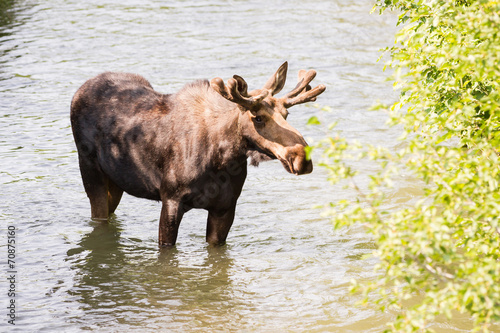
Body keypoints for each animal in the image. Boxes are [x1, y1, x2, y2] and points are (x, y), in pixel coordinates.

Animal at [72, 61, 326, 245]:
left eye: (286, 114)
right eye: (258, 118)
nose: (302, 158)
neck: (223, 160)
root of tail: (79, 90)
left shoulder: (225, 207)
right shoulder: (171, 200)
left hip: (116, 181)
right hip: (90, 170)